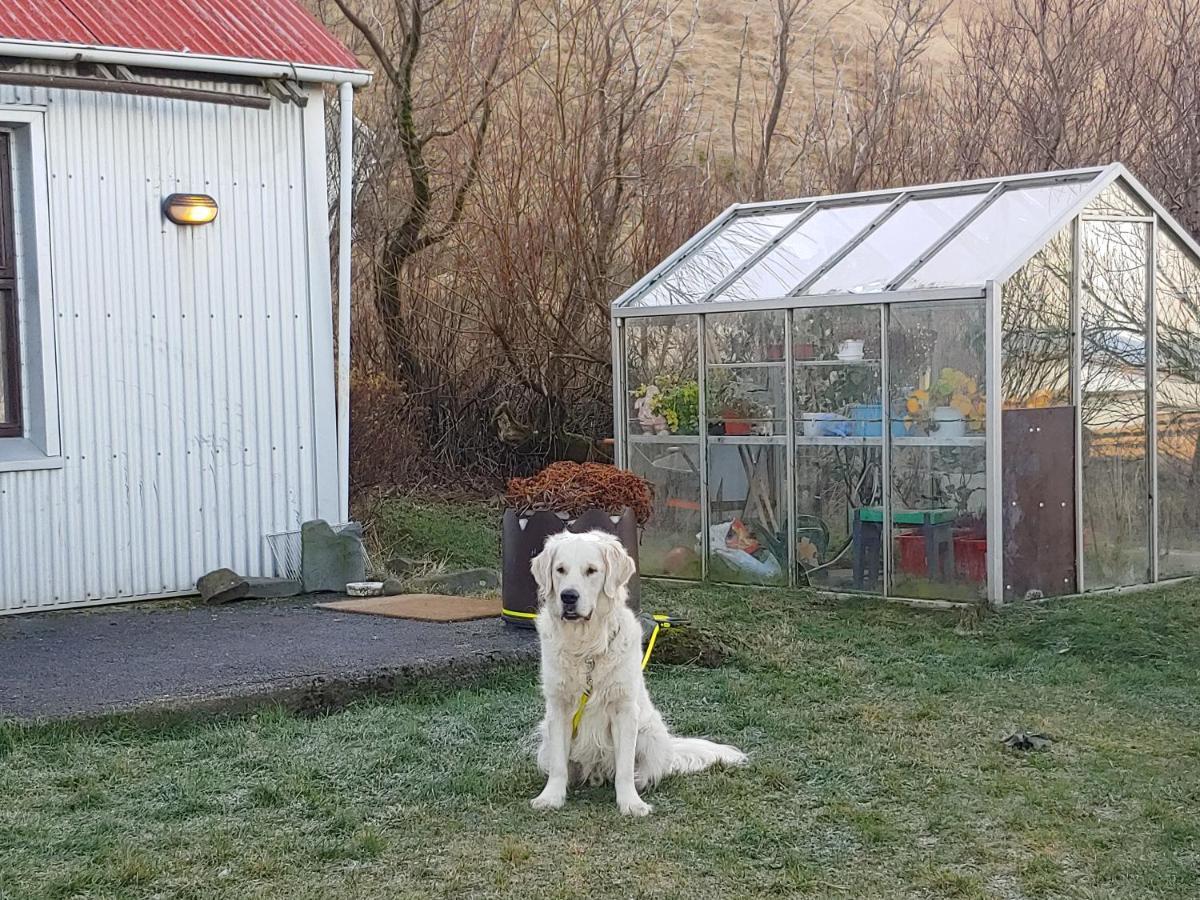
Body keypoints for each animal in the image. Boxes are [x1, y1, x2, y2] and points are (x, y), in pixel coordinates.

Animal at [530, 528, 744, 816]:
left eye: (591, 570)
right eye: (560, 570)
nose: (568, 597)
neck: (586, 649)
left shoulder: (624, 710)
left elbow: (624, 768)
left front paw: (630, 803)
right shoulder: (558, 708)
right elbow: (558, 765)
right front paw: (551, 797)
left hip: (649, 730)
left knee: (647, 769)